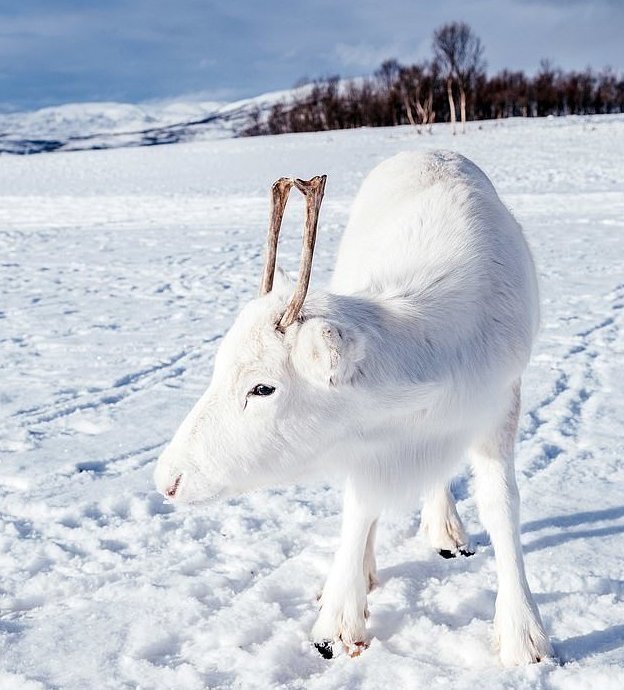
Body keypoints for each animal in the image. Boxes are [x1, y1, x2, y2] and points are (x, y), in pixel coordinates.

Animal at [155, 149, 552, 660]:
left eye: (262, 388)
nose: (168, 481)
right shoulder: (364, 441)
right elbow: (360, 507)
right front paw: (339, 620)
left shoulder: (500, 404)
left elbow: (502, 505)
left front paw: (524, 636)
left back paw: (445, 531)